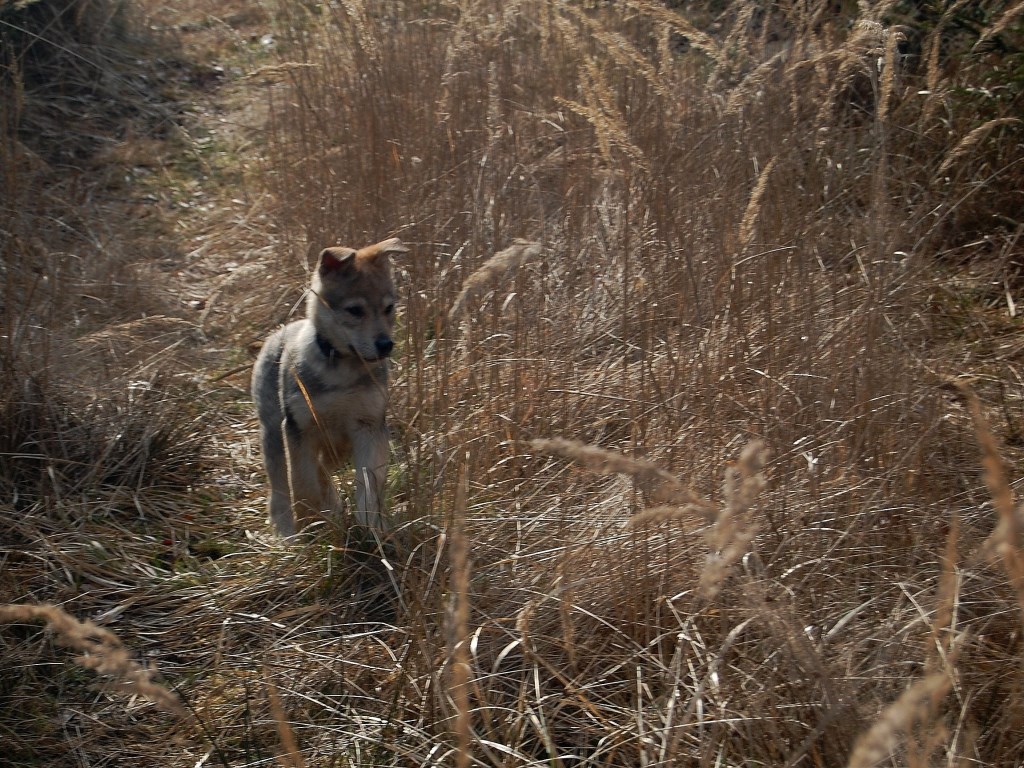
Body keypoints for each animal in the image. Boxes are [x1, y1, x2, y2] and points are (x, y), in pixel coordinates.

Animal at [249, 237, 405, 536]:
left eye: (388, 308)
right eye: (355, 310)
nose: (386, 345)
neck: (341, 368)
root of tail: (281, 330)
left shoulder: (369, 427)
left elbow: (370, 484)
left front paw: (372, 526)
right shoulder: (299, 429)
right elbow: (303, 485)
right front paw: (312, 525)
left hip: (339, 442)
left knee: (323, 466)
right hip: (274, 432)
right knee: (280, 486)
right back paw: (286, 529)